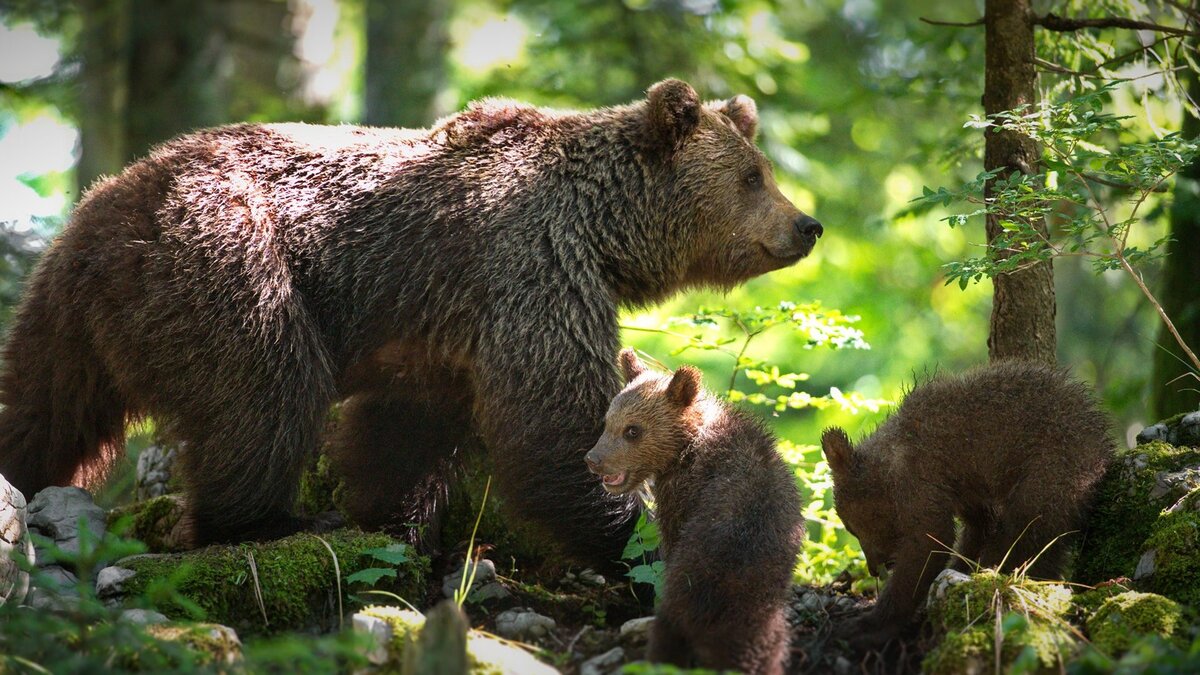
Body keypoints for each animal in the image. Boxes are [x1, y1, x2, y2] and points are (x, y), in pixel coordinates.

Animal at [0, 78, 820, 562]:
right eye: (754, 175)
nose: (807, 225)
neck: (603, 229)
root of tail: (108, 211)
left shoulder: (441, 325)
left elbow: (407, 427)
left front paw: (393, 518)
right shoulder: (529, 265)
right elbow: (550, 415)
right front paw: (625, 531)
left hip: (65, 310)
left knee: (44, 407)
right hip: (227, 260)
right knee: (266, 396)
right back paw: (259, 521)